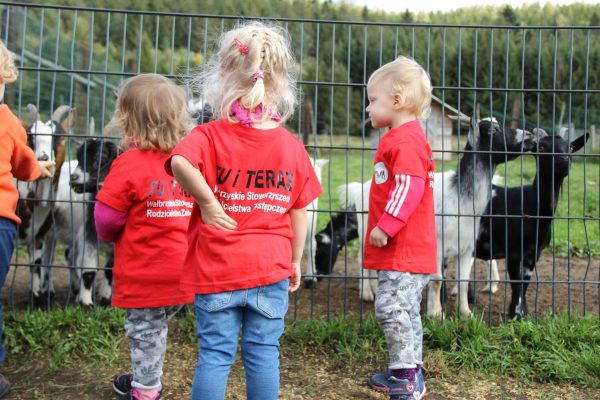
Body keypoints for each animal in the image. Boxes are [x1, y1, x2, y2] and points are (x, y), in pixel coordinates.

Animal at [474, 128, 592, 318]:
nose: (563, 160)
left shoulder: (534, 253)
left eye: (570, 147)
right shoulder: (514, 250)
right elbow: (516, 282)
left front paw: (522, 313)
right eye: (542, 148)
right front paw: (516, 313)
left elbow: (525, 283)